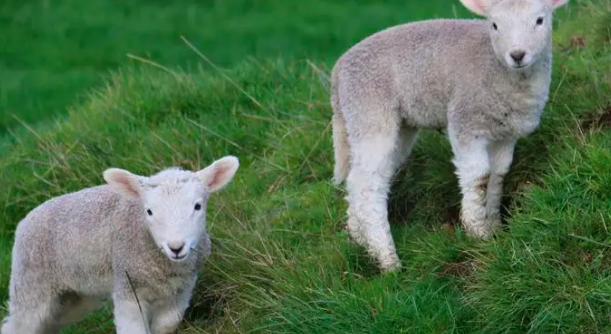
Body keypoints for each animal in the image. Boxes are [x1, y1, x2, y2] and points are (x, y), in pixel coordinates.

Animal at [2, 157, 241, 334]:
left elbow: (165, 326)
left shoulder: (181, 289)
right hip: (32, 286)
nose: (176, 247)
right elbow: (134, 330)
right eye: (149, 211)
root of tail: (25, 220)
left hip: (74, 295)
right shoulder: (128, 288)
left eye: (197, 206)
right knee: (18, 326)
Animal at [332, 0, 572, 272]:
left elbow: (497, 175)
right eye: (494, 25)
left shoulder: (505, 132)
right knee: (366, 184)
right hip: (370, 111)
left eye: (540, 20)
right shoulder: (466, 119)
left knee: (358, 179)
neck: (498, 70)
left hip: (394, 126)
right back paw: (387, 259)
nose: (518, 55)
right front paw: (477, 231)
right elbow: (479, 176)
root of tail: (338, 71)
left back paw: (358, 239)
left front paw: (494, 226)